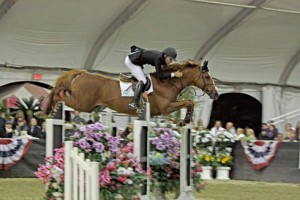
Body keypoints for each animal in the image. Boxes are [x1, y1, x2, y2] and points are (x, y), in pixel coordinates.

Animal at [44, 58, 218, 122]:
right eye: (207, 77)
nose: (216, 94)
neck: (167, 84)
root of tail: (83, 73)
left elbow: (189, 102)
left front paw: (186, 119)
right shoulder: (166, 107)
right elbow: (188, 102)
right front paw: (186, 120)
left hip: (89, 105)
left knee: (61, 91)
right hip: (82, 103)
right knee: (59, 94)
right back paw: (49, 108)